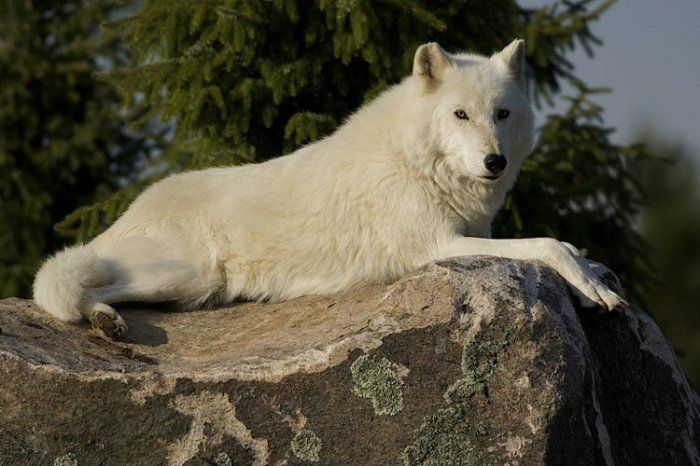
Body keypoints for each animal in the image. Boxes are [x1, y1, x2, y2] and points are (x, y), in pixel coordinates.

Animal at [32, 41, 628, 338]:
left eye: (502, 114)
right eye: (460, 115)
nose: (494, 161)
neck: (414, 163)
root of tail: (126, 214)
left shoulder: (471, 235)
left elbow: (565, 244)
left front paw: (596, 277)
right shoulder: (438, 246)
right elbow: (547, 244)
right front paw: (594, 286)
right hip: (189, 275)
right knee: (67, 290)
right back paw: (104, 321)